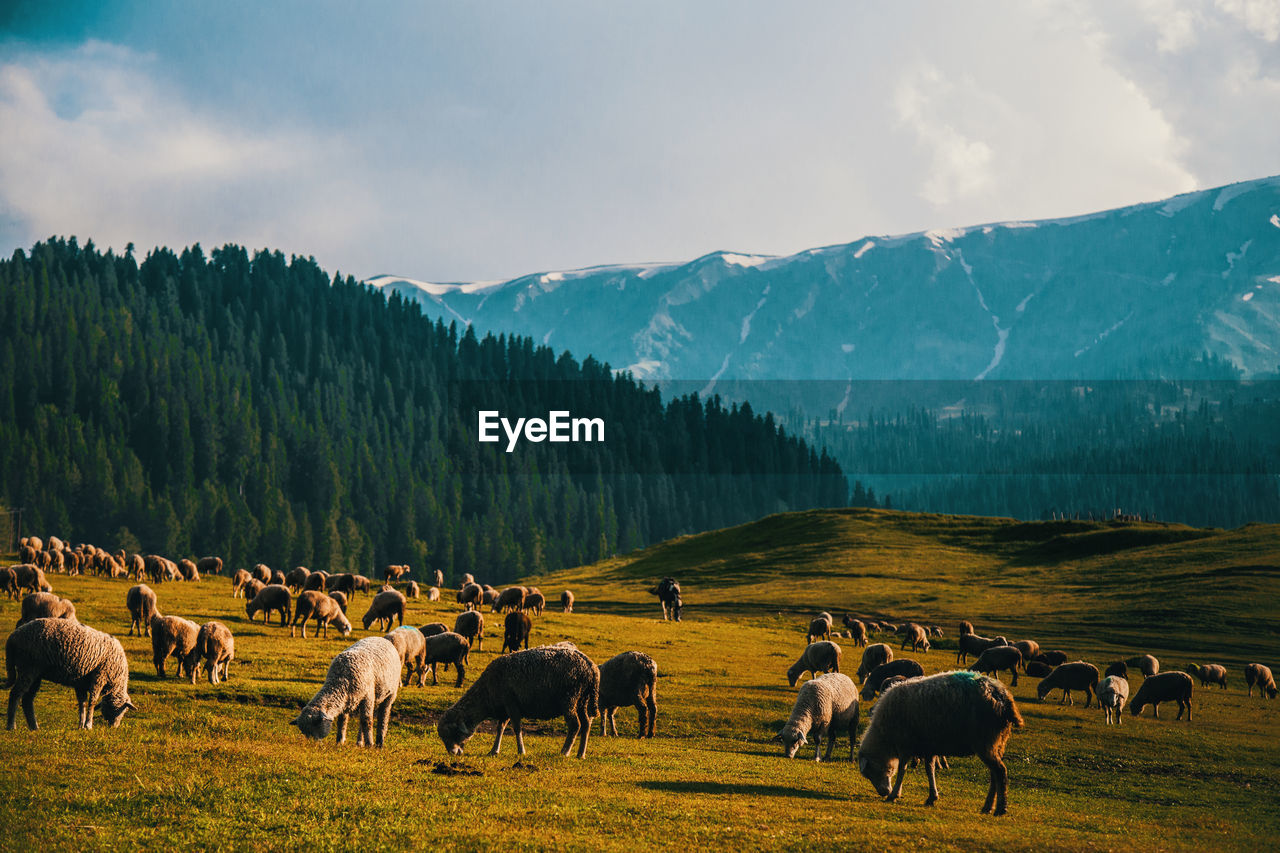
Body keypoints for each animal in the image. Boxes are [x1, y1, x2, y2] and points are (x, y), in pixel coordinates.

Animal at [5, 614, 135, 727]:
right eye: (123, 710)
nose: (114, 727)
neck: (116, 679)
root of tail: (12, 637)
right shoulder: (99, 677)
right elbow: (92, 702)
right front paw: (88, 725)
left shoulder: (81, 683)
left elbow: (82, 703)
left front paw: (81, 725)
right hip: (28, 667)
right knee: (15, 694)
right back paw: (11, 726)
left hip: (35, 673)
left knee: (27, 699)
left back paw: (34, 727)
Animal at [435, 640, 599, 753]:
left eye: (452, 732)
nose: (453, 753)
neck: (485, 694)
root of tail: (591, 667)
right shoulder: (504, 709)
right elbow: (500, 728)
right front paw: (494, 751)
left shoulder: (511, 704)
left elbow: (516, 728)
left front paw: (521, 751)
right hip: (582, 700)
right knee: (586, 724)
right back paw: (581, 754)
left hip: (569, 699)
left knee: (575, 725)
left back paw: (565, 752)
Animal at [855, 666, 1024, 814]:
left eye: (870, 772)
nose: (883, 792)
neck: (884, 735)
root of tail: (1002, 696)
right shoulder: (928, 746)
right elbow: (930, 770)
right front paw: (932, 797)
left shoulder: (905, 744)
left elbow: (903, 769)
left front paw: (894, 795)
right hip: (998, 742)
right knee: (994, 775)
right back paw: (988, 807)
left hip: (986, 741)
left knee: (1000, 772)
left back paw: (1001, 808)